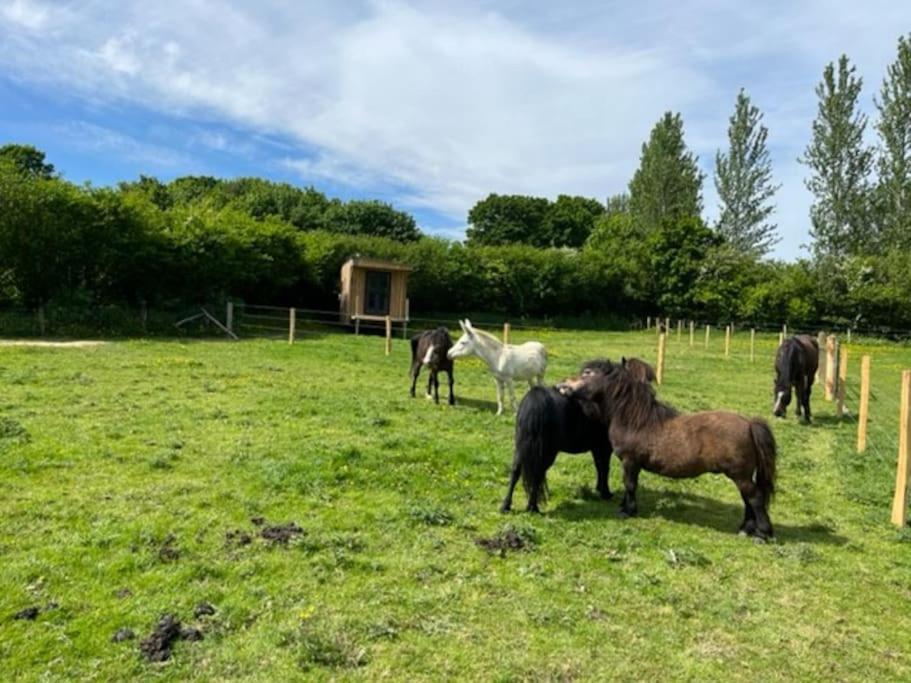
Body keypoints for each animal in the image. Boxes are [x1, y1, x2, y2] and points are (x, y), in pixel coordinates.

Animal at [498, 358, 656, 512]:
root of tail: (536, 397)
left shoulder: (596, 448)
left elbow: (599, 467)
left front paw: (599, 489)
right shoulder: (604, 448)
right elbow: (605, 467)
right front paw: (605, 492)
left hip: (521, 447)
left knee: (516, 471)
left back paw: (506, 506)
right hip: (546, 452)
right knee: (537, 472)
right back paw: (533, 507)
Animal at [560, 364, 780, 540]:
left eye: (588, 372)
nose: (562, 384)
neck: (636, 420)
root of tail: (749, 424)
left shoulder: (631, 462)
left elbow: (630, 485)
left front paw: (628, 511)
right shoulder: (631, 464)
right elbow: (629, 485)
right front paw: (624, 507)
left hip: (740, 476)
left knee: (755, 498)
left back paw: (762, 533)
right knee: (747, 499)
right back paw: (745, 529)